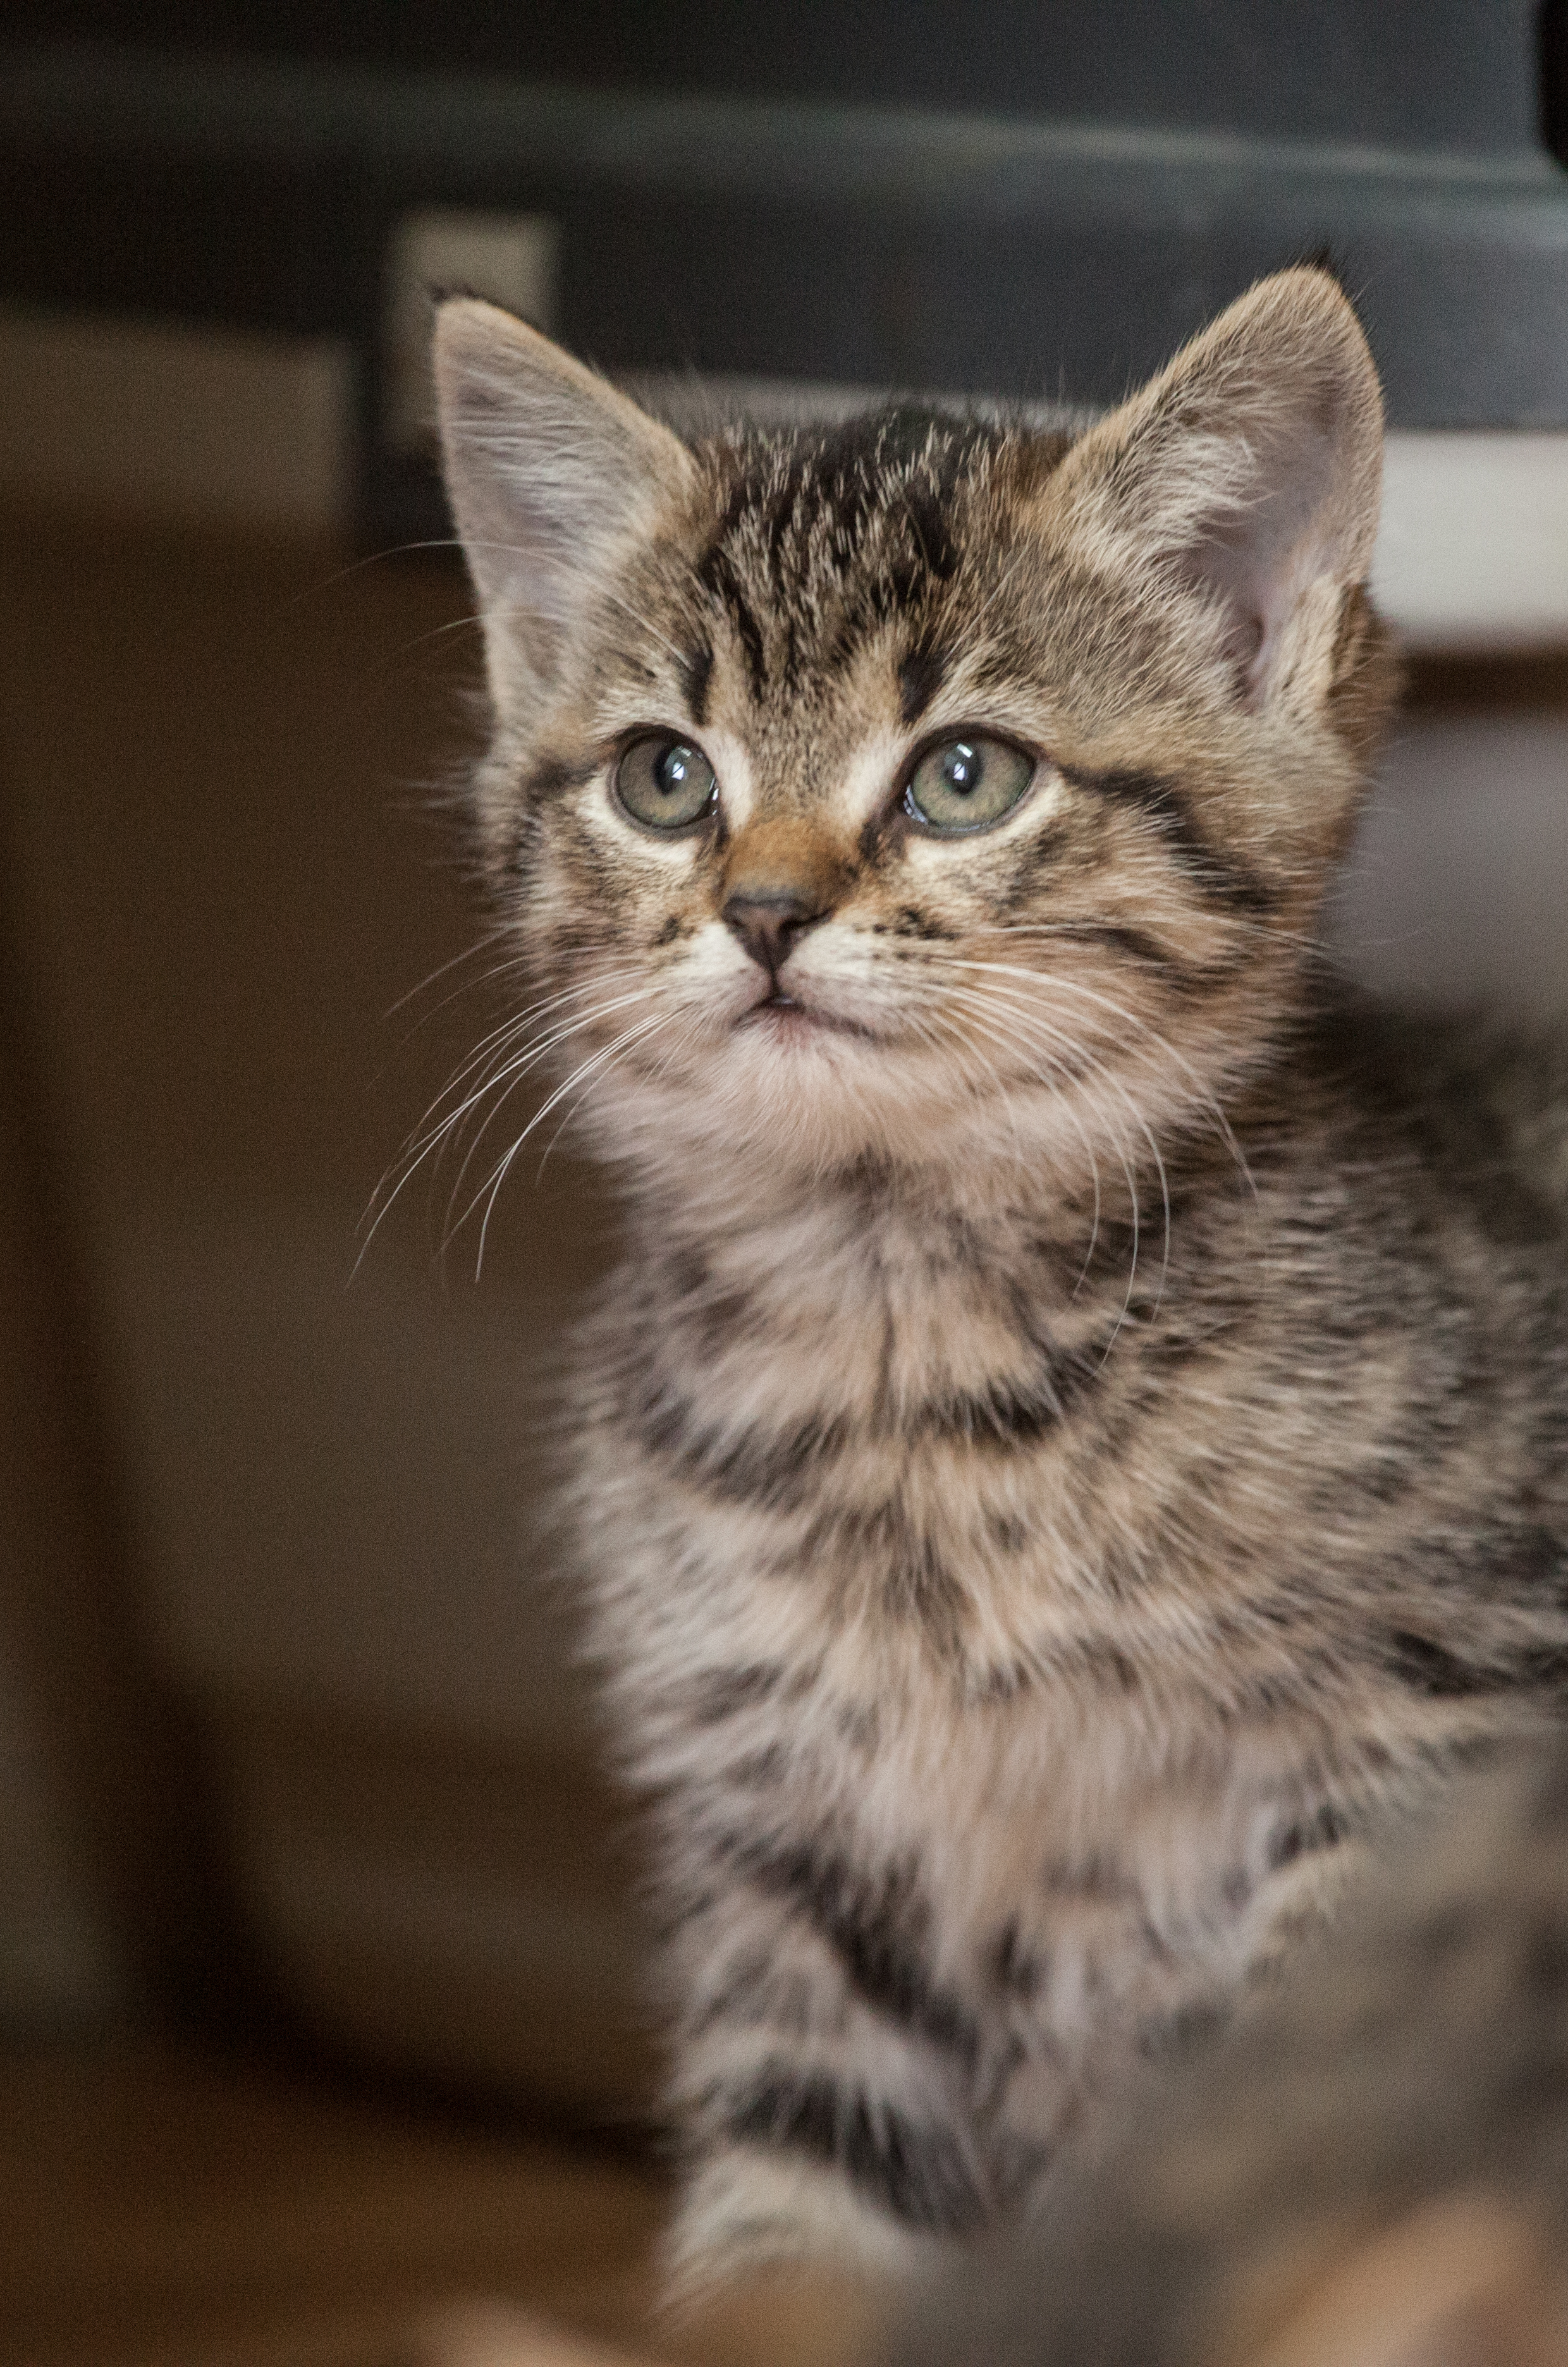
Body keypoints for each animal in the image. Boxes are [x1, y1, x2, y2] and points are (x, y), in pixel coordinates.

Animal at [431, 268, 1568, 2282]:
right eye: (664, 778)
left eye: (965, 776)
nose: (766, 909)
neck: (905, 1353)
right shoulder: (785, 1843)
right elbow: (789, 2226)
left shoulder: (1449, 1704)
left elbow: (1305, 2068)